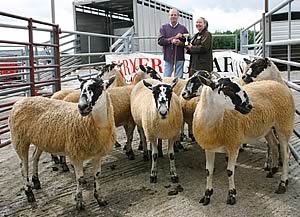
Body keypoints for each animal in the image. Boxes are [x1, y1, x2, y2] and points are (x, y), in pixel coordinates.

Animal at [8, 75, 116, 209]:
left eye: (99, 87)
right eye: (81, 88)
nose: (82, 107)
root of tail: (20, 101)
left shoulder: (98, 154)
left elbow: (97, 175)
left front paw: (100, 199)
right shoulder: (76, 154)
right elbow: (80, 178)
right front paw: (79, 202)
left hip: (39, 140)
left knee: (35, 158)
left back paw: (36, 181)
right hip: (19, 140)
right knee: (23, 167)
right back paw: (29, 193)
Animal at [182, 72, 294, 205]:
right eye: (227, 88)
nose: (249, 106)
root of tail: (277, 83)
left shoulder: (233, 145)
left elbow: (230, 171)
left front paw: (232, 195)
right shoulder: (209, 148)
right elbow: (208, 171)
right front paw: (207, 195)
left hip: (284, 124)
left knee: (285, 154)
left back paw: (282, 183)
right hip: (267, 128)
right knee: (273, 144)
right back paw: (273, 170)